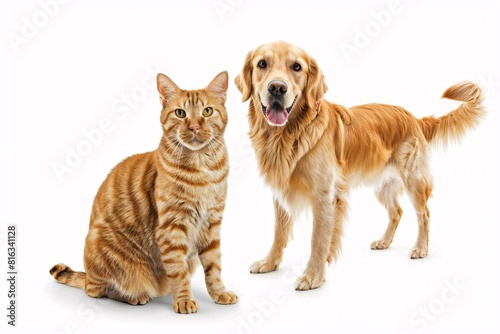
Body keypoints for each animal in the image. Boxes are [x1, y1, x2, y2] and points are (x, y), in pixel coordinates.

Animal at [49, 70, 237, 314]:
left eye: (207, 111)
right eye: (180, 113)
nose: (195, 128)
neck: (203, 169)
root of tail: (88, 275)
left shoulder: (211, 224)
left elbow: (214, 267)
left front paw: (219, 294)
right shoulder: (171, 228)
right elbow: (179, 272)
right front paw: (184, 300)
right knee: (97, 291)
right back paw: (135, 297)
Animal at [234, 39, 484, 290]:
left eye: (296, 67)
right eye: (262, 64)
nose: (277, 88)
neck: (288, 136)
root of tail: (414, 118)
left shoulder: (325, 197)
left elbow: (318, 239)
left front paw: (313, 275)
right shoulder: (281, 193)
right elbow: (279, 233)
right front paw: (269, 262)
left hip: (413, 180)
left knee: (424, 214)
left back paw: (421, 248)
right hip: (383, 187)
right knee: (397, 212)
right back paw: (384, 241)